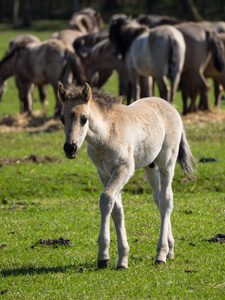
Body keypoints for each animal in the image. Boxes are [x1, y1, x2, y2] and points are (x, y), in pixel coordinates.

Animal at [58, 82, 193, 270]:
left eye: (84, 118)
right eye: (62, 119)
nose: (70, 148)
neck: (107, 134)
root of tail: (171, 107)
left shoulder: (124, 169)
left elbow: (106, 199)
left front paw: (103, 256)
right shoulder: (104, 173)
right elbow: (116, 210)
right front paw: (122, 258)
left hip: (167, 163)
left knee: (166, 200)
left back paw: (161, 254)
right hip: (150, 167)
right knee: (158, 199)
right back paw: (170, 250)